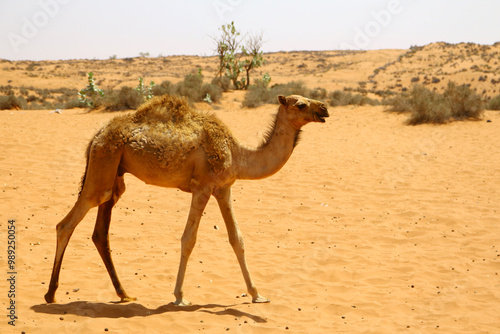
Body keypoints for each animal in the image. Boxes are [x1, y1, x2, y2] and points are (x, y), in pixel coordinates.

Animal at [44, 93, 328, 306]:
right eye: (300, 104)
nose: (324, 108)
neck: (238, 154)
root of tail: (97, 135)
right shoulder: (202, 187)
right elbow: (188, 239)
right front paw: (179, 296)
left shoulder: (224, 188)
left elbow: (237, 239)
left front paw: (258, 295)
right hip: (103, 165)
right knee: (65, 224)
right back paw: (51, 294)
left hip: (114, 174)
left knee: (100, 233)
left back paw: (124, 294)